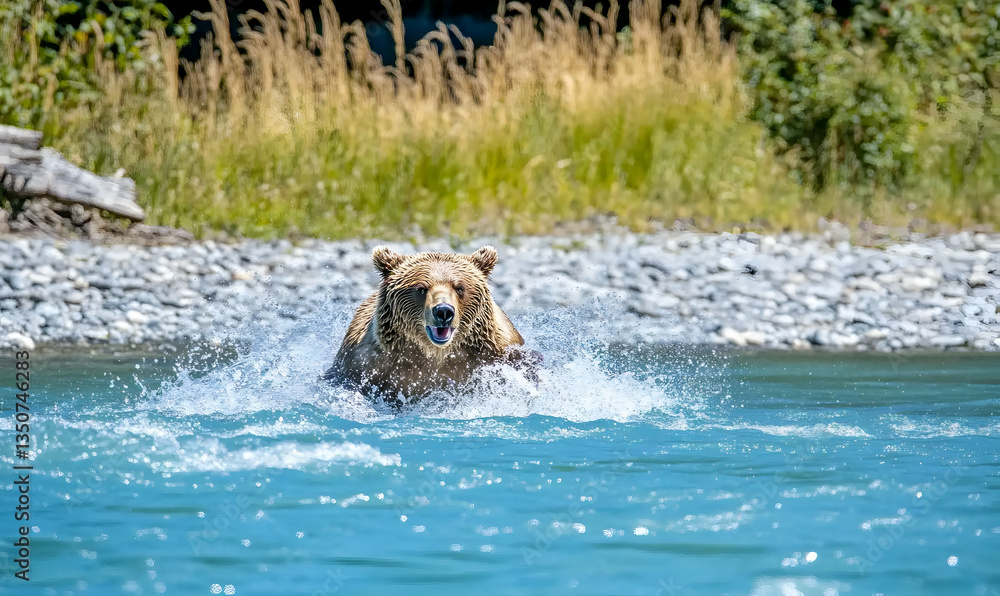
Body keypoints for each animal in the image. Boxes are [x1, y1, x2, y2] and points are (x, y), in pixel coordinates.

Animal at [323, 245, 537, 404]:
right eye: (420, 288)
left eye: (460, 287)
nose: (443, 311)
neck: (435, 354)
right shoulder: (364, 363)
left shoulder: (498, 352)